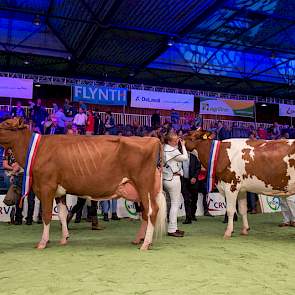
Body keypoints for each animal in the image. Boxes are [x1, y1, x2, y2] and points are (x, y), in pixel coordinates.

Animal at [0, 118, 166, 250]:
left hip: (144, 185)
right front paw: (64, 238)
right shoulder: (59, 190)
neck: (38, 149)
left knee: (151, 211)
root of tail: (152, 139)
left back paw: (145, 244)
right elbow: (62, 213)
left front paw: (43, 242)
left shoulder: (47, 186)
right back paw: (140, 240)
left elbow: (47, 215)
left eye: (7, 123)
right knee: (145, 213)